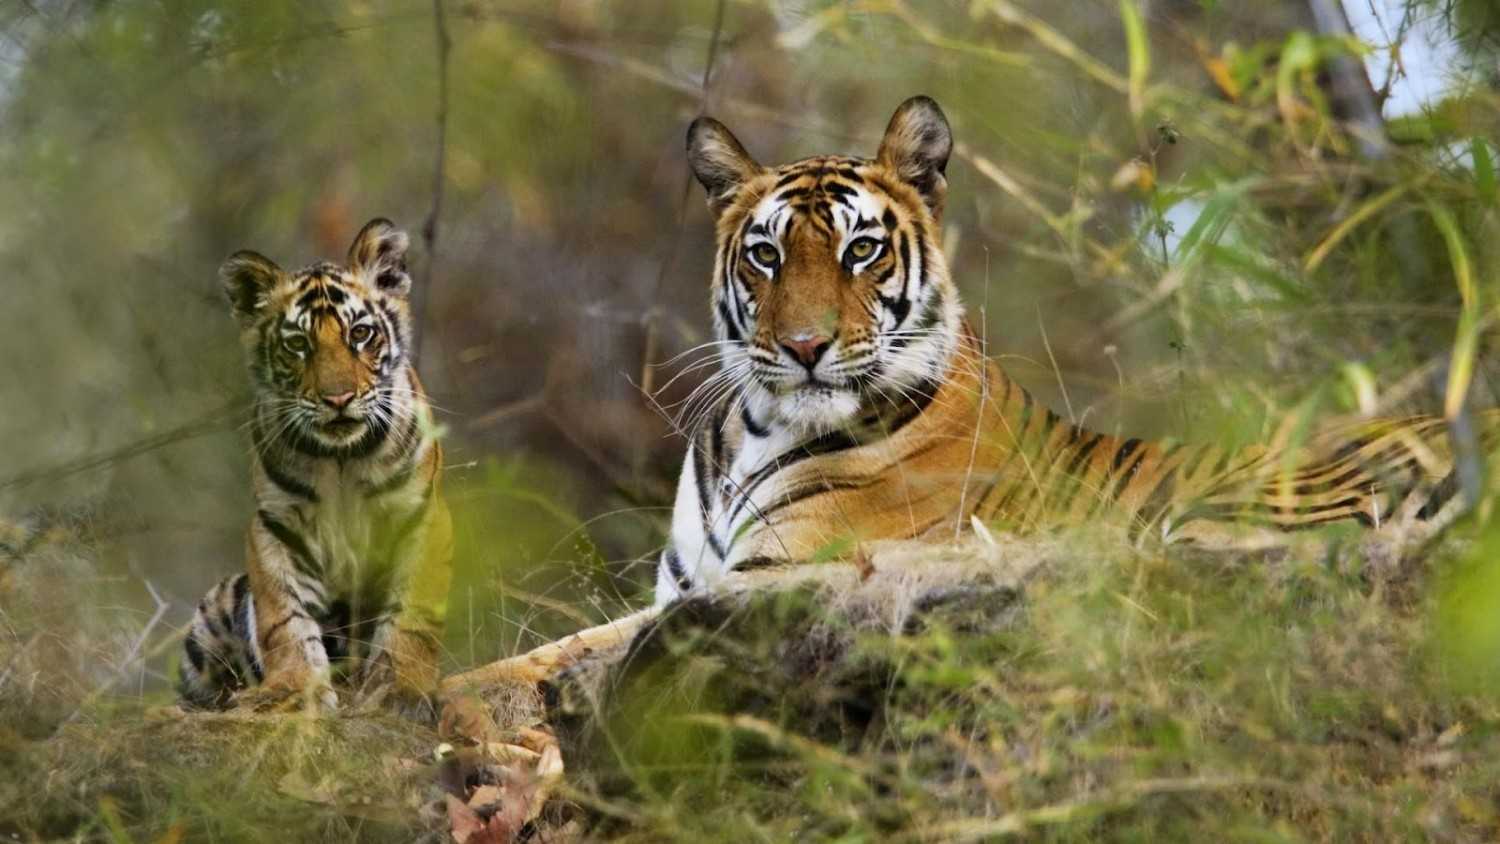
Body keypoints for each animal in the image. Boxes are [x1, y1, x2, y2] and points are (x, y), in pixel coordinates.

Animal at [180, 220, 450, 719]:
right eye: (298, 344)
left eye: (360, 334)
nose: (338, 398)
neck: (342, 458)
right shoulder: (277, 527)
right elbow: (284, 619)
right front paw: (295, 690)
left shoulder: (420, 517)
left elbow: (411, 618)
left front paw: (400, 691)